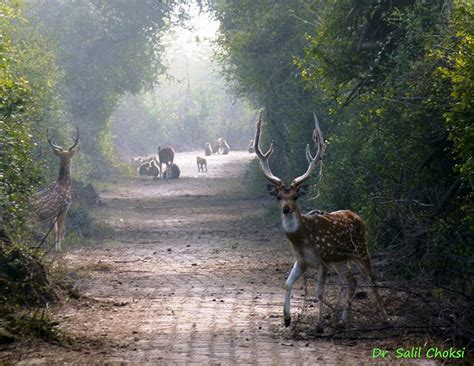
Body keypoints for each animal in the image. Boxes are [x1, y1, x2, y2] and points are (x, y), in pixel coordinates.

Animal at [254, 112, 386, 332]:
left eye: (295, 196)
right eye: (279, 196)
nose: (286, 209)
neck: (302, 239)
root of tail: (357, 216)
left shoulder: (322, 260)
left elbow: (319, 292)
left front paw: (319, 324)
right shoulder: (301, 261)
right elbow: (287, 283)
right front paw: (287, 319)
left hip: (361, 248)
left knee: (371, 278)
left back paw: (384, 317)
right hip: (341, 259)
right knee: (350, 281)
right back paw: (341, 321)